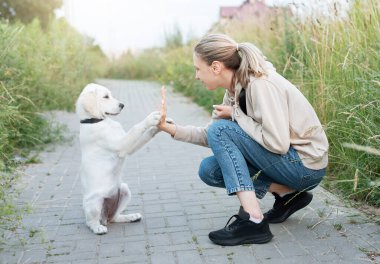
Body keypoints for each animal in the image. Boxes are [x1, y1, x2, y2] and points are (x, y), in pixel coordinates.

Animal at [76, 83, 161, 234]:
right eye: (106, 97)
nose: (122, 105)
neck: (94, 121)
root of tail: (104, 217)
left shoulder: (129, 148)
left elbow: (144, 135)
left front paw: (157, 127)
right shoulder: (121, 145)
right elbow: (136, 127)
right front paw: (151, 119)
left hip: (125, 190)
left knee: (114, 218)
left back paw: (131, 217)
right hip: (94, 203)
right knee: (90, 222)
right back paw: (98, 228)